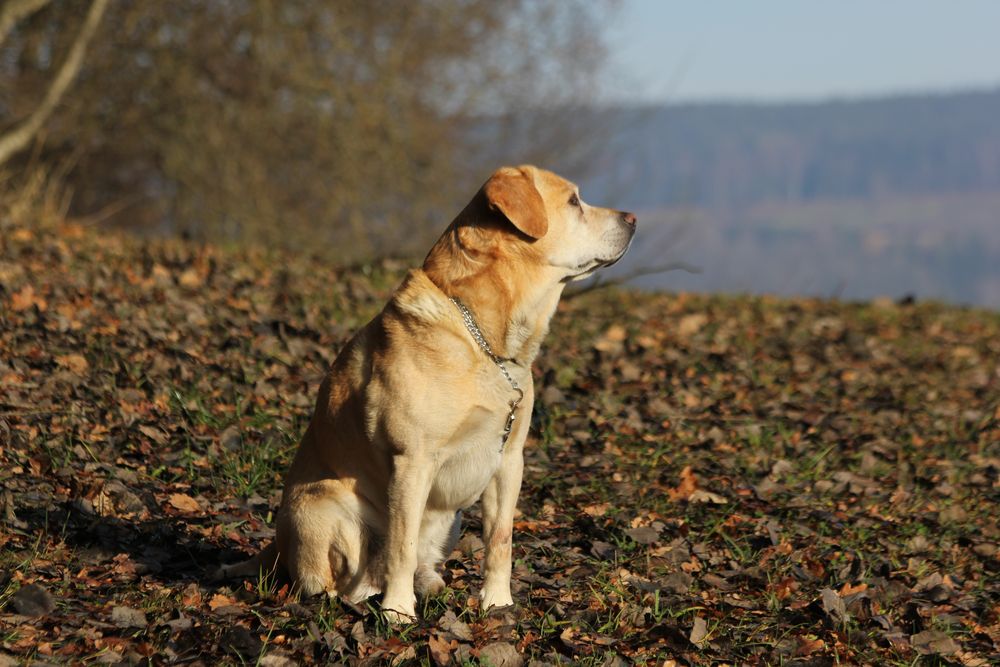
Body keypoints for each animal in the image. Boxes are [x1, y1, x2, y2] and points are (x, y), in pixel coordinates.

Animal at [222, 166, 636, 620]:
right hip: (326, 508)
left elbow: (500, 540)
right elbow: (400, 547)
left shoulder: (509, 460)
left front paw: (497, 602)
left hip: (450, 519)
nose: (633, 218)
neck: (485, 341)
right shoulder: (413, 460)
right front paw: (399, 611)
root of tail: (275, 546)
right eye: (574, 202)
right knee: (342, 580)